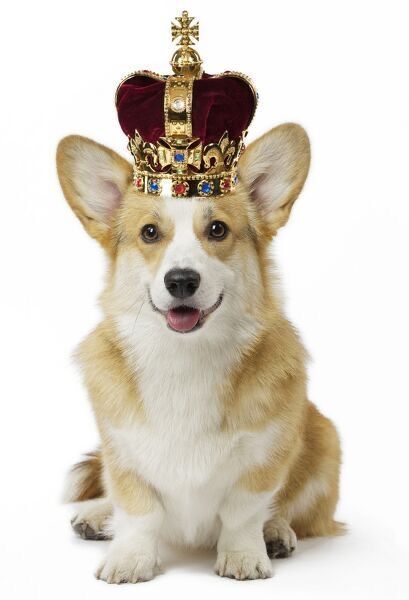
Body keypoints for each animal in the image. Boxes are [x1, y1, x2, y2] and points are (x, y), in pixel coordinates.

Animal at [56, 124, 342, 584]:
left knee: (294, 510)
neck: (184, 358)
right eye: (150, 233)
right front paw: (130, 558)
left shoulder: (264, 459)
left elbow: (244, 511)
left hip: (324, 439)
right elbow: (137, 510)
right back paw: (98, 516)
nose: (181, 281)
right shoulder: (122, 452)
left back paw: (276, 532)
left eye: (218, 230)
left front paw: (244, 555)